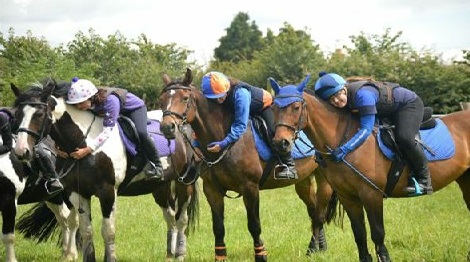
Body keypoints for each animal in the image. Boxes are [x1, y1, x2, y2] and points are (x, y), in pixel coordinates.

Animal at [11, 80, 198, 262]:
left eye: (39, 114)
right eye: (17, 116)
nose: (21, 151)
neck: (84, 140)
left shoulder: (107, 192)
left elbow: (108, 231)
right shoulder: (78, 192)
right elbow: (86, 230)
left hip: (184, 183)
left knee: (181, 219)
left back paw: (180, 254)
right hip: (160, 186)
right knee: (170, 217)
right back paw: (169, 254)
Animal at [160, 68, 336, 260]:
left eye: (185, 98)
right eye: (162, 100)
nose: (167, 127)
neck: (224, 138)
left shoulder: (250, 188)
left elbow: (254, 225)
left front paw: (261, 255)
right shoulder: (212, 190)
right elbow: (218, 227)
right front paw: (220, 257)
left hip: (324, 179)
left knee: (319, 214)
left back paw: (314, 247)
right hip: (303, 180)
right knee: (313, 210)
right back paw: (318, 247)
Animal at [268, 78, 470, 262]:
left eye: (296, 107)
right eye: (275, 108)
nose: (280, 143)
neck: (345, 139)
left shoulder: (371, 194)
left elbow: (377, 234)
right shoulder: (348, 196)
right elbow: (359, 234)